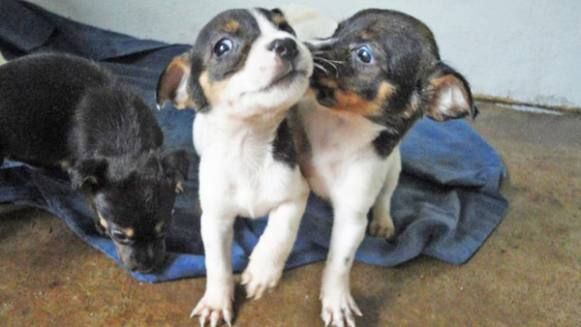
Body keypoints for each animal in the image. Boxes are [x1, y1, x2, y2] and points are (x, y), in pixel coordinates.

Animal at [0, 53, 188, 272]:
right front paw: (99, 222)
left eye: (164, 229)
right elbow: (90, 197)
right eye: (119, 235)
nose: (146, 268)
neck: (124, 141)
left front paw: (177, 181)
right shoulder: (83, 170)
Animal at [156, 7, 312, 327]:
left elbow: (281, 232)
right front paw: (217, 301)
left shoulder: (296, 194)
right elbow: (216, 262)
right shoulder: (214, 219)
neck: (248, 147)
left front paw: (262, 273)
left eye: (287, 29)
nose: (287, 44)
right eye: (223, 47)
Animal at [292, 9, 478, 326]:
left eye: (364, 55)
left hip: (393, 169)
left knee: (385, 197)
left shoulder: (352, 217)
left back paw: (382, 222)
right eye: (337, 31)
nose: (298, 44)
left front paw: (336, 301)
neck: (338, 127)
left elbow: (339, 262)